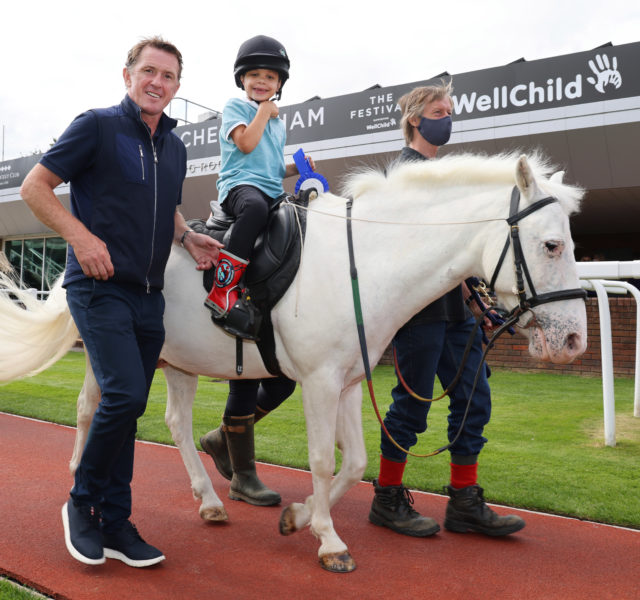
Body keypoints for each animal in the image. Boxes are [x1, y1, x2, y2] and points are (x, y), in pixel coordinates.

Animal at [0, 154, 584, 572]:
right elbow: (324, 460)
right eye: (553, 245)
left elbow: (355, 462)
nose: (575, 338)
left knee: (175, 423)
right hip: (110, 354)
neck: (364, 263)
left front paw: (298, 518)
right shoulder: (320, 383)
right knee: (89, 411)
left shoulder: (348, 383)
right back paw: (84, 489)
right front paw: (328, 541)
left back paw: (209, 500)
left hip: (178, 360)